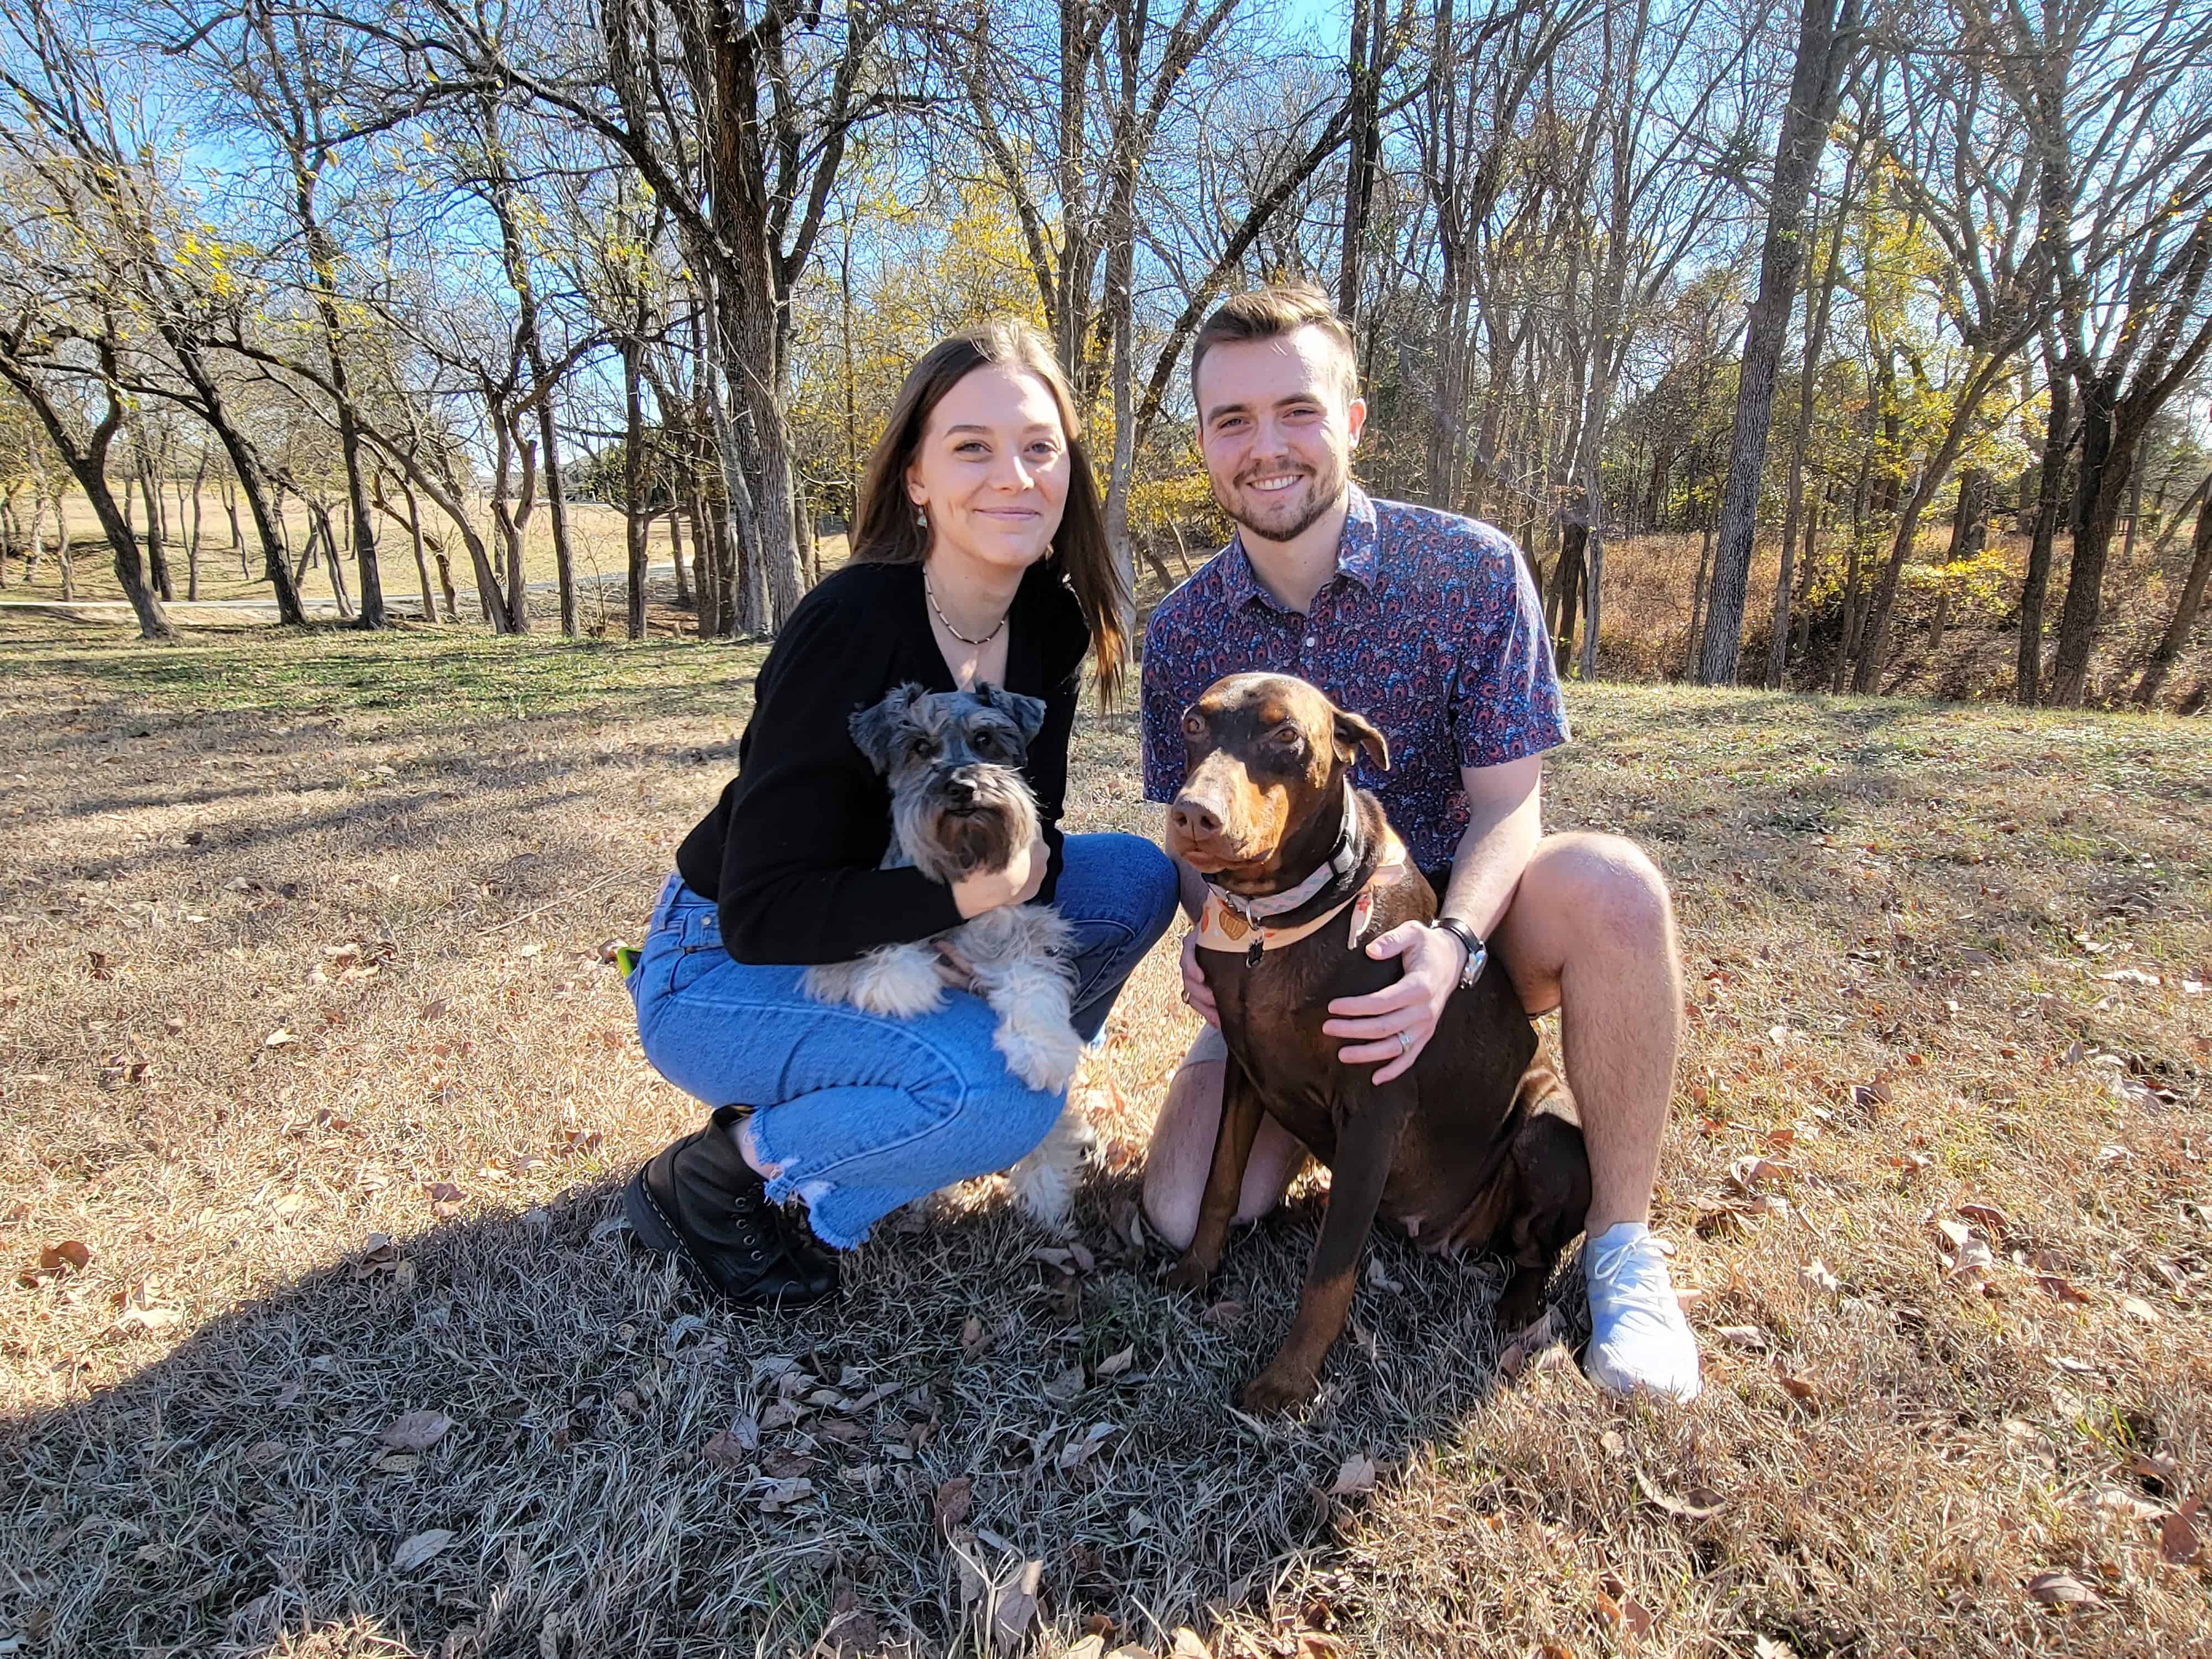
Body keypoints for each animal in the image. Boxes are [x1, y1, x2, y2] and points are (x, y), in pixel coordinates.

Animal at [810, 677, 1093, 1239]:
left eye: (985, 740)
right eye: (921, 747)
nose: (962, 787)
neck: (966, 860)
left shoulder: (1025, 933)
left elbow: (1032, 986)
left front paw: (1041, 1051)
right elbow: (885, 939)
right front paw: (903, 983)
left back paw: (1046, 1198)